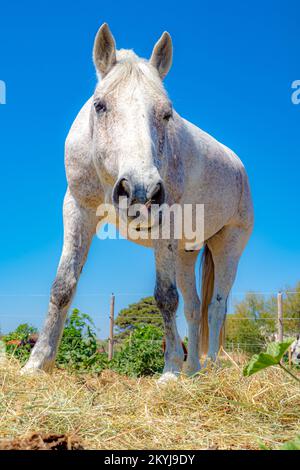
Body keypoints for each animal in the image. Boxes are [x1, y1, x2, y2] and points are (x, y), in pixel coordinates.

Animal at [22, 23, 254, 382]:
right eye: (100, 105)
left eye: (167, 113)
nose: (140, 190)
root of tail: (237, 164)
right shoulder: (78, 210)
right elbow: (63, 286)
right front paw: (36, 363)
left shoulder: (166, 226)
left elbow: (165, 298)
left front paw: (170, 371)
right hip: (186, 254)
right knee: (195, 308)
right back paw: (193, 371)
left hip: (227, 245)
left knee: (216, 307)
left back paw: (211, 369)